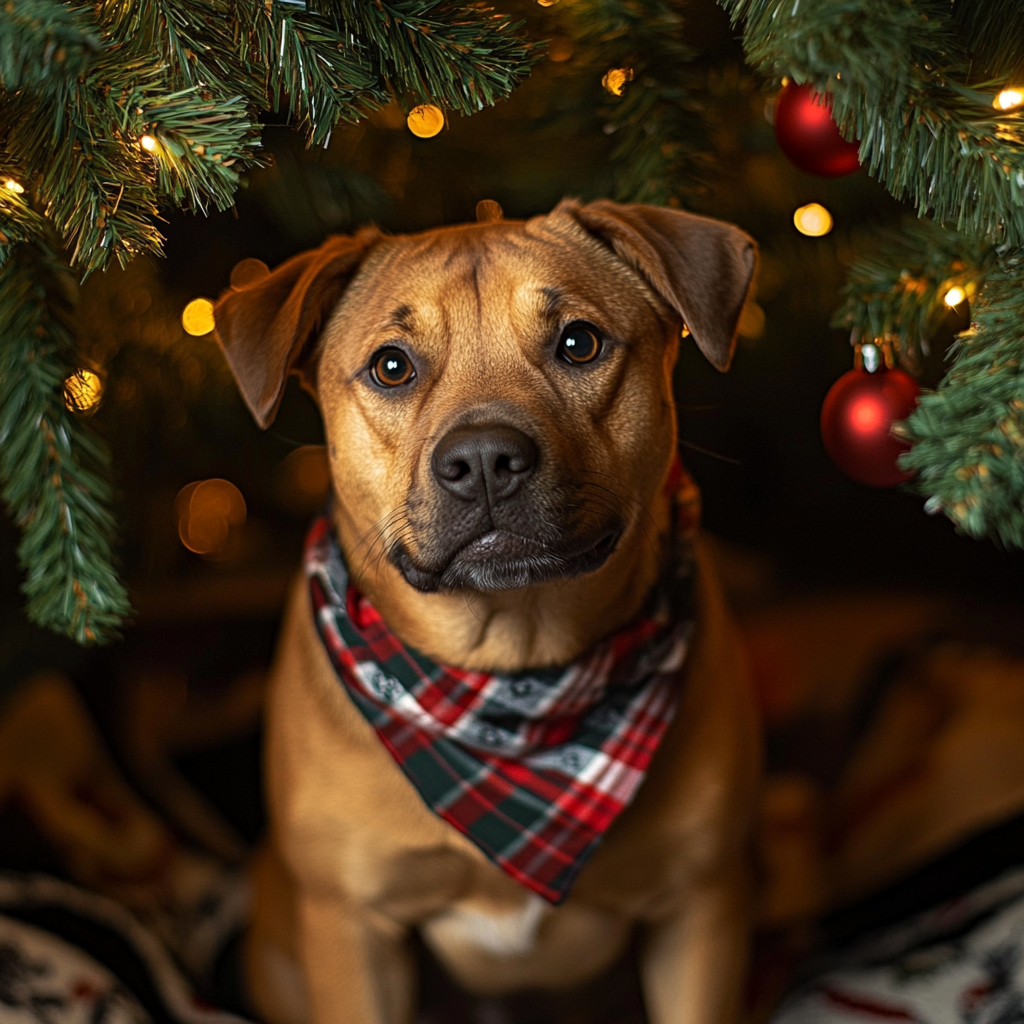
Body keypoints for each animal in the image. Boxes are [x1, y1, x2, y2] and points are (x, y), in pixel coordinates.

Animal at [214, 199, 761, 1024]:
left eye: (579, 343)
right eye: (392, 366)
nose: (481, 461)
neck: (513, 674)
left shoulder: (699, 908)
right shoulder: (351, 928)